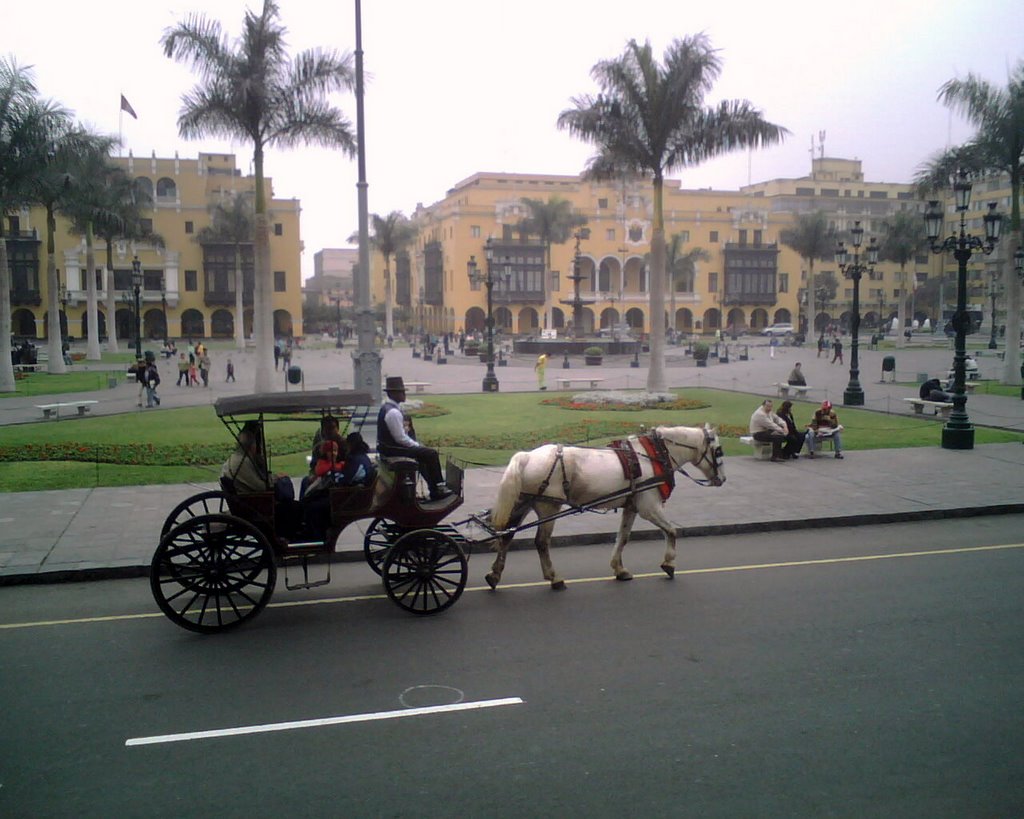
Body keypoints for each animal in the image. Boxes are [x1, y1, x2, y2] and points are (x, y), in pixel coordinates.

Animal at [483, 425, 724, 593]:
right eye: (718, 452)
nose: (722, 479)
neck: (654, 454)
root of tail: (527, 456)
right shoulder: (649, 506)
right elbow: (671, 530)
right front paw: (669, 562)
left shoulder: (631, 506)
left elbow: (623, 537)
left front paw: (619, 568)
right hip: (548, 506)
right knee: (541, 543)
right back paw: (554, 578)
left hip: (522, 503)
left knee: (506, 535)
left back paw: (495, 575)